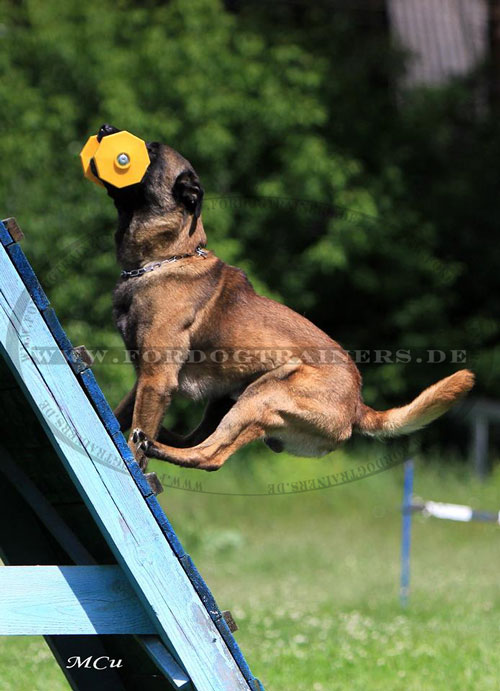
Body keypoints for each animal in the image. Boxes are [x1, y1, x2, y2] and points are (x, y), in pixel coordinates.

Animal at [95, 124, 474, 470]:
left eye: (151, 150)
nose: (105, 128)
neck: (169, 257)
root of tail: (356, 406)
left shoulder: (157, 379)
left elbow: (137, 430)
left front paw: (135, 459)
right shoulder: (145, 378)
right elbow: (120, 414)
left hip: (265, 393)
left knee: (211, 454)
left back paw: (157, 445)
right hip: (230, 396)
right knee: (199, 439)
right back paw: (164, 438)